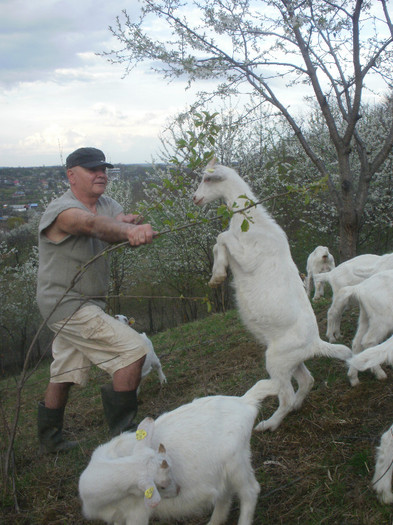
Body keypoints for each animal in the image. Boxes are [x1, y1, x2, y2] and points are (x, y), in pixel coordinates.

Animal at [78, 378, 278, 520]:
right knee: (224, 494)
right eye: (162, 485)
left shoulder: (136, 513)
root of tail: (244, 402)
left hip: (237, 461)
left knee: (250, 491)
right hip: (223, 470)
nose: (179, 490)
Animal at [191, 160, 350, 430]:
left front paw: (219, 274)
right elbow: (217, 243)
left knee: (285, 395)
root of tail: (315, 343)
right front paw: (216, 275)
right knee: (306, 380)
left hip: (277, 360)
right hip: (290, 361)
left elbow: (221, 237)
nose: (195, 198)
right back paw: (295, 407)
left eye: (207, 178)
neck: (250, 220)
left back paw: (269, 424)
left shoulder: (249, 257)